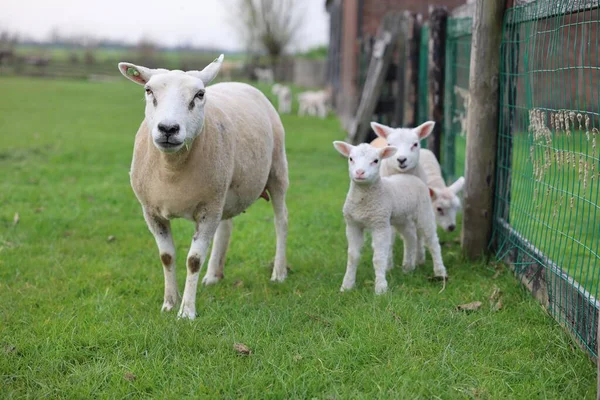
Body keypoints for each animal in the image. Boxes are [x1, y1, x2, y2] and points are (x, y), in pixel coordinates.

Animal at [116, 54, 288, 320]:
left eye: (199, 94)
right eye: (148, 90)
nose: (168, 129)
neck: (172, 169)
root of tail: (241, 83)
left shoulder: (208, 209)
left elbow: (193, 260)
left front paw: (187, 311)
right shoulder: (151, 212)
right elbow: (167, 257)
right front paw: (169, 303)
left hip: (277, 170)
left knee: (281, 221)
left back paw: (278, 272)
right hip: (225, 192)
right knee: (225, 228)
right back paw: (213, 276)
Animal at [332, 141, 446, 294]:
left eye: (376, 161)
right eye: (350, 158)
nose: (360, 172)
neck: (363, 203)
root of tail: (411, 177)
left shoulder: (380, 223)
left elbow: (379, 258)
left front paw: (380, 288)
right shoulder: (352, 224)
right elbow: (352, 256)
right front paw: (347, 286)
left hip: (424, 211)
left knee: (432, 241)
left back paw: (440, 271)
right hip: (401, 218)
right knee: (410, 237)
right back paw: (408, 267)